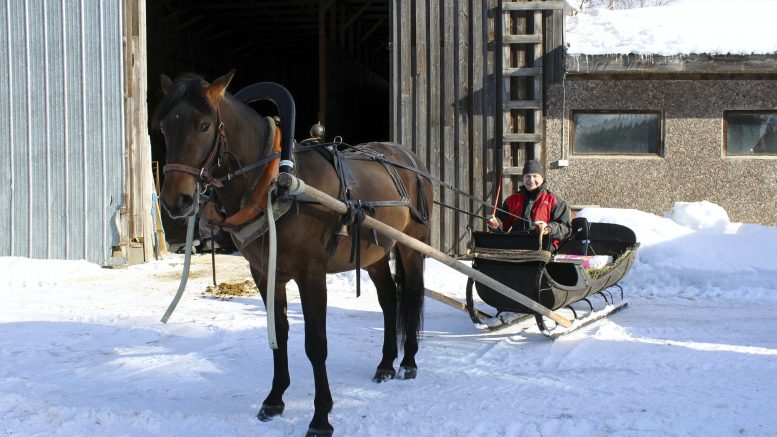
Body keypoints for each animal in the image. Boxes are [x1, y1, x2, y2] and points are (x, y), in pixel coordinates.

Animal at [155, 70, 434, 434]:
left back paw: (409, 362)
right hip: (374, 253)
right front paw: (274, 399)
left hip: (412, 244)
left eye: (204, 125)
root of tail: (409, 158)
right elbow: (279, 333)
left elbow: (316, 344)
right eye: (164, 126)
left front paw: (321, 417)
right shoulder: (265, 274)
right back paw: (386, 364)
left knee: (412, 295)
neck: (276, 184)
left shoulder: (311, 274)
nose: (176, 201)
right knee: (389, 300)